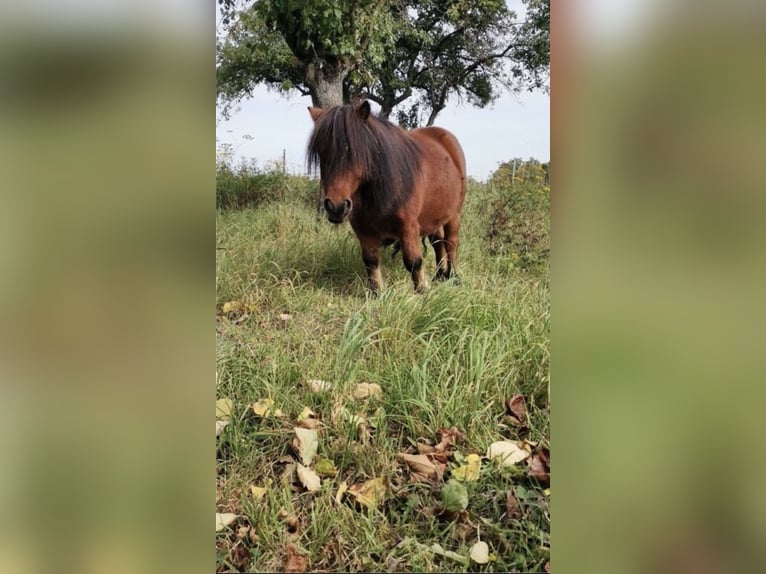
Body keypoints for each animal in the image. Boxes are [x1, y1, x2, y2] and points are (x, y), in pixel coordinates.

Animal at [307, 101, 467, 295]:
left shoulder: (408, 227)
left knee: (451, 243)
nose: (336, 207)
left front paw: (422, 293)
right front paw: (377, 294)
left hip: (454, 215)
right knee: (438, 242)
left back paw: (454, 277)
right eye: (321, 153)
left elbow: (414, 262)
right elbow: (371, 261)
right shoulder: (363, 229)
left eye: (354, 150)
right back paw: (440, 275)